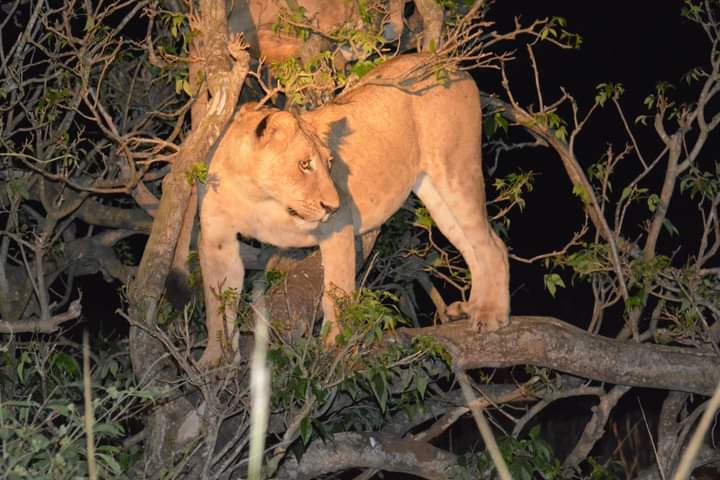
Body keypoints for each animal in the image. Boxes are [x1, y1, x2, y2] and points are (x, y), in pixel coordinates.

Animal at [190, 53, 510, 366]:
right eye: (304, 164)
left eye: (329, 163)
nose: (332, 205)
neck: (256, 194)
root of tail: (453, 65)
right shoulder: (217, 239)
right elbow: (217, 301)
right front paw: (216, 359)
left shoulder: (337, 227)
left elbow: (337, 289)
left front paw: (334, 344)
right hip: (434, 193)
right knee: (471, 246)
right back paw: (473, 308)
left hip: (456, 170)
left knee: (493, 244)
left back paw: (491, 314)